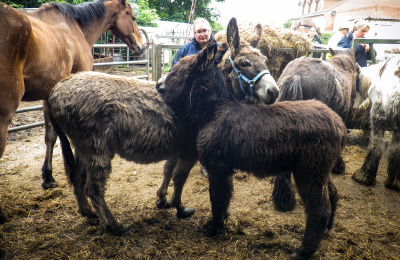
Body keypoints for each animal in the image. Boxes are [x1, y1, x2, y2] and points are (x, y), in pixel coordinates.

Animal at [0, 1, 144, 190]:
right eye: (132, 17)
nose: (142, 46)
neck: (75, 29)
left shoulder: (48, 93)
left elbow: (50, 135)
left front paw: (48, 176)